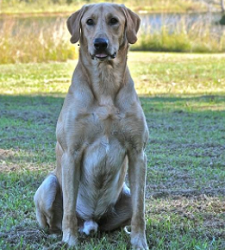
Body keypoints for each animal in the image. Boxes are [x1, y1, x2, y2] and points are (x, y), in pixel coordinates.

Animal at [33, 2, 149, 249]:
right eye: (89, 22)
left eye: (114, 20)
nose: (100, 43)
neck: (105, 81)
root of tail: (90, 221)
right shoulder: (72, 152)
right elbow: (68, 211)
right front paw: (70, 241)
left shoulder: (138, 153)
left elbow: (140, 211)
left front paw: (139, 242)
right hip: (49, 185)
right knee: (55, 221)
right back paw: (61, 235)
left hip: (125, 193)